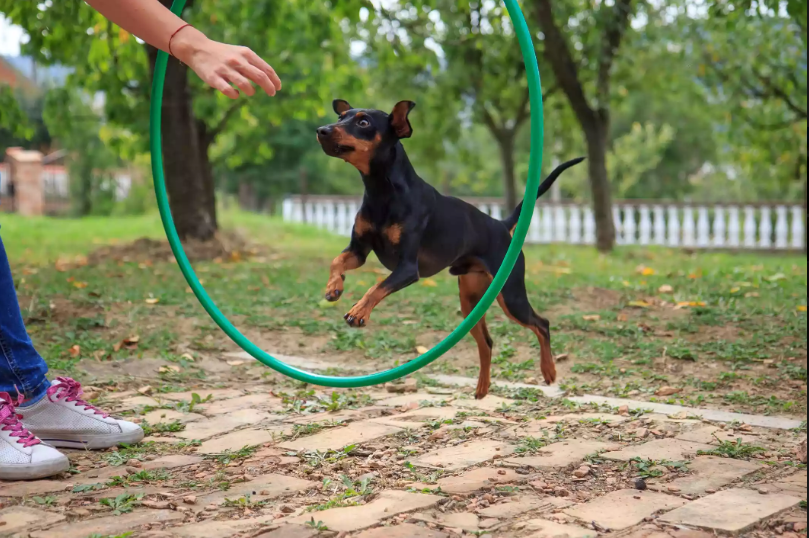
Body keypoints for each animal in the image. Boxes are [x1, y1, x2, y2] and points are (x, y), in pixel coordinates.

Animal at [316, 98, 580, 396]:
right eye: (341, 117)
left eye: (363, 122)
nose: (322, 130)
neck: (383, 191)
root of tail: (501, 225)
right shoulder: (359, 250)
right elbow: (337, 261)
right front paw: (334, 286)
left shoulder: (407, 269)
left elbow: (376, 287)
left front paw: (359, 311)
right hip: (470, 300)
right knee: (487, 342)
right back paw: (482, 388)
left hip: (511, 296)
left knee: (541, 324)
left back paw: (548, 371)